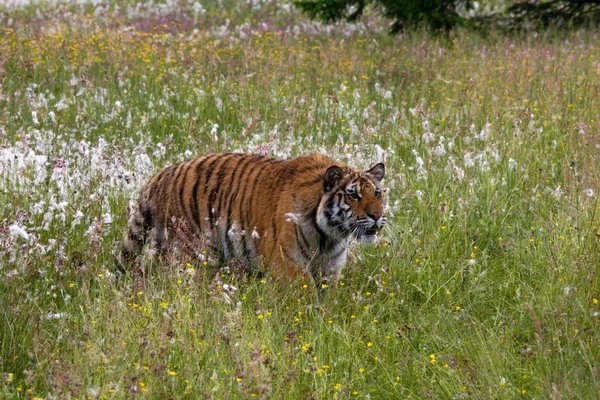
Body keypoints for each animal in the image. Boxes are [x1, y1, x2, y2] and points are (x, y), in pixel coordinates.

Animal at [118, 153, 390, 288]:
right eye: (353, 195)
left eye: (377, 193)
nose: (377, 215)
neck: (329, 235)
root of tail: (162, 174)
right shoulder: (287, 263)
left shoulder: (330, 269)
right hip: (188, 252)